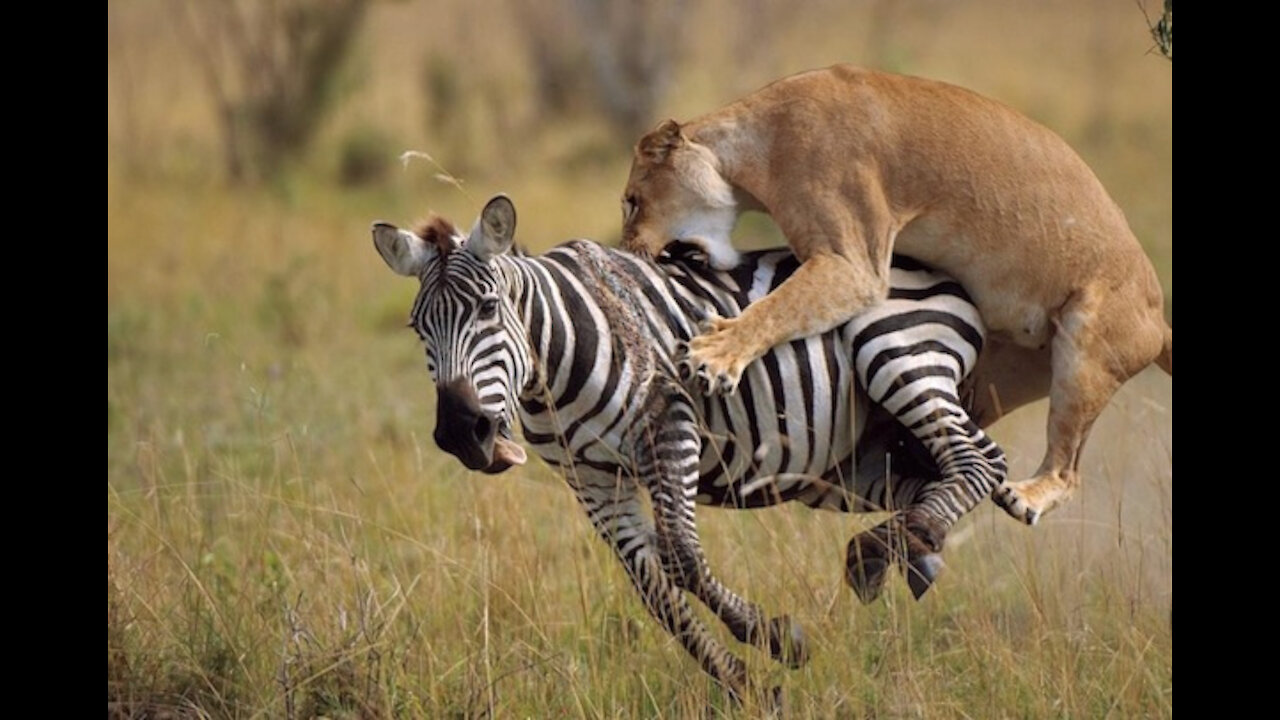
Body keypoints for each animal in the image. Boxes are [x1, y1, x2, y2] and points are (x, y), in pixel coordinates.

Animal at [620, 64, 1172, 524]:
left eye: (631, 202)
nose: (626, 249)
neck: (751, 150)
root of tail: (1160, 318)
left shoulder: (853, 264)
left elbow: (776, 307)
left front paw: (713, 355)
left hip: (1086, 353)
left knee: (1066, 469)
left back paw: (1025, 496)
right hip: (1001, 371)